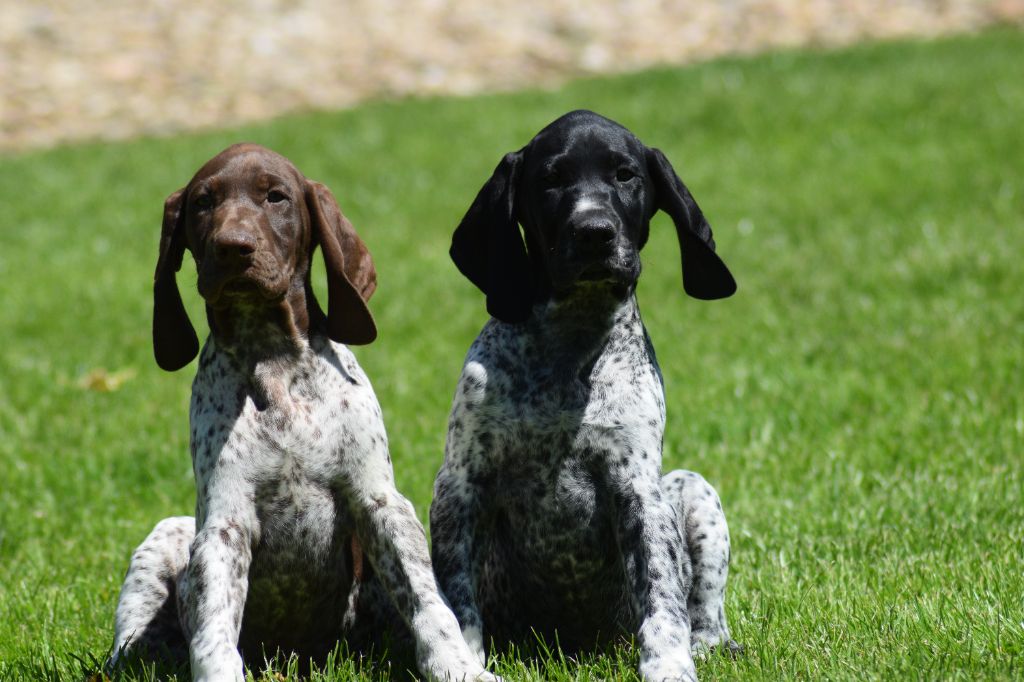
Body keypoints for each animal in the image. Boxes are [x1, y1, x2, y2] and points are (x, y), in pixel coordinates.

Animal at [430, 109, 737, 675]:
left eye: (625, 175)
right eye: (551, 180)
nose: (595, 232)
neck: (570, 350)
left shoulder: (639, 488)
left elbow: (662, 595)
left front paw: (669, 664)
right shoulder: (461, 486)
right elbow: (457, 598)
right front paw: (465, 661)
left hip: (691, 489)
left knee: (703, 605)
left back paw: (710, 644)